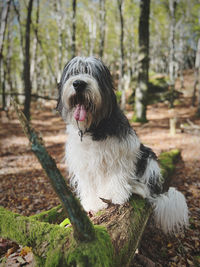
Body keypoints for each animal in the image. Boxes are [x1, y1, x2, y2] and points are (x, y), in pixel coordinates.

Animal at [56, 57, 189, 234]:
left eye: (92, 72)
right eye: (73, 72)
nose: (78, 84)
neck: (94, 127)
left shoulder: (120, 153)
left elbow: (116, 175)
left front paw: (115, 196)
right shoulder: (84, 163)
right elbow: (89, 184)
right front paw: (92, 204)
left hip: (147, 156)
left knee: (147, 186)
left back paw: (137, 188)